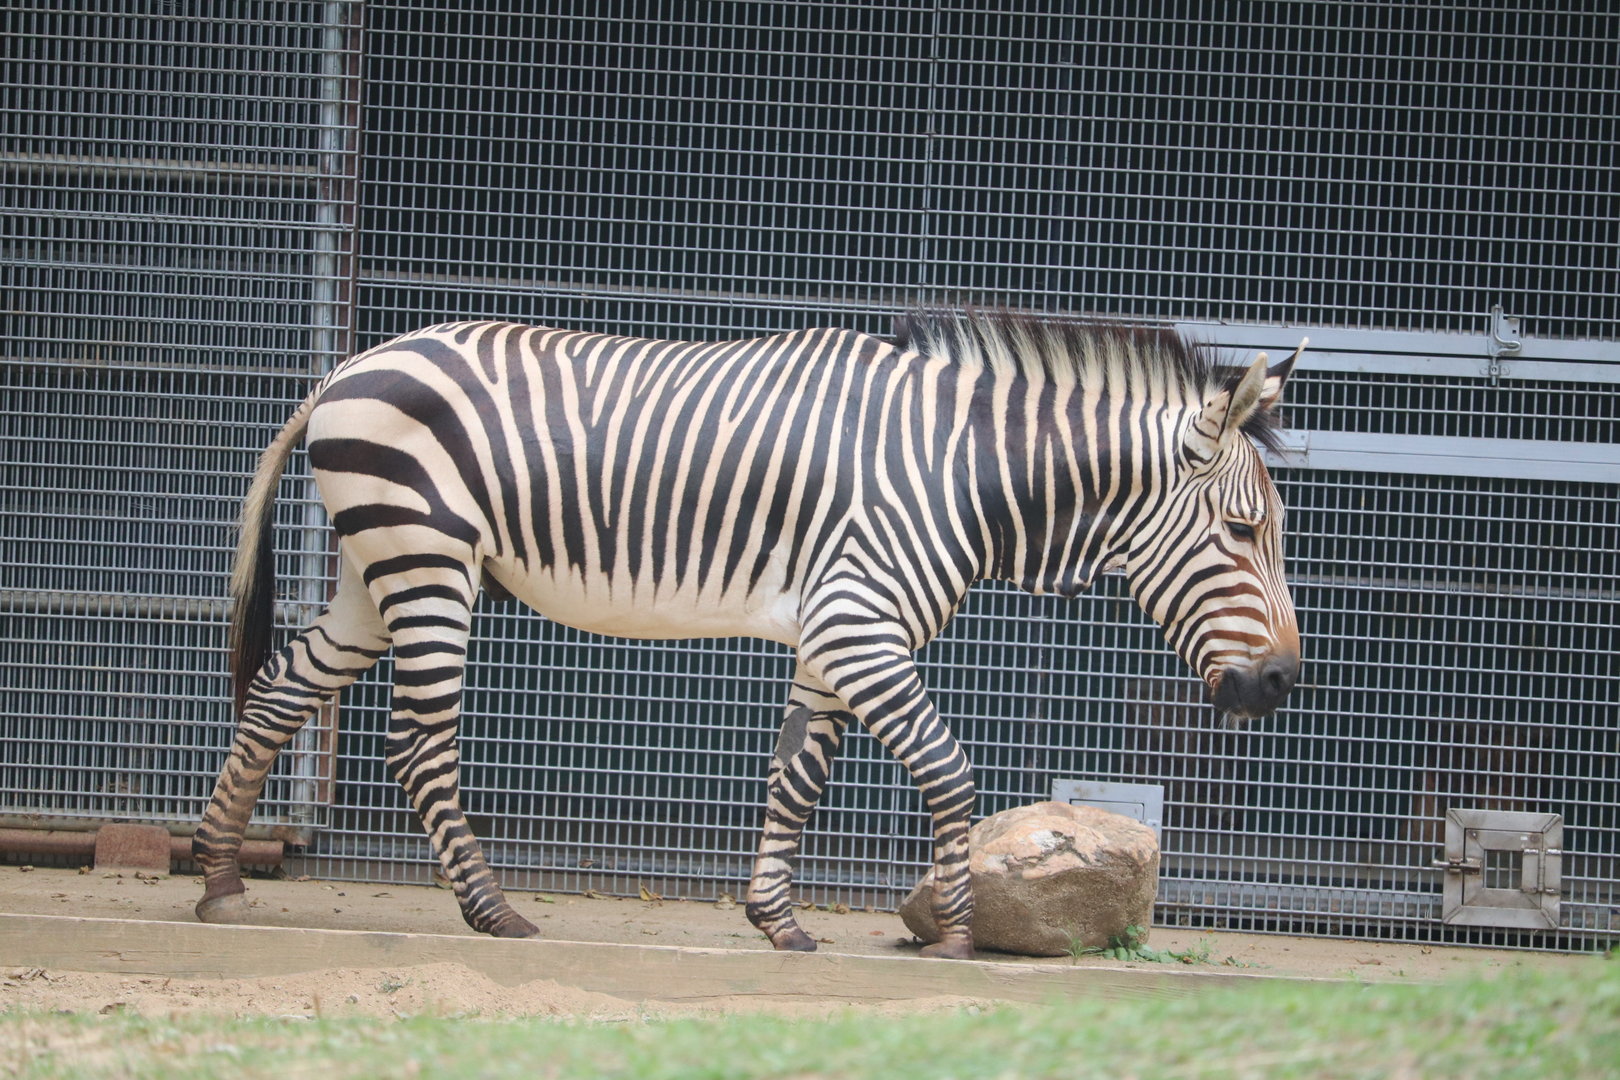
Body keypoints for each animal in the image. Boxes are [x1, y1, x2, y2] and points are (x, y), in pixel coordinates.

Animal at [192, 311, 1302, 960]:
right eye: (1244, 532)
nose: (1284, 687)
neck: (960, 472)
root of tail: (355, 361)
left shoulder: (834, 633)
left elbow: (795, 774)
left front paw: (777, 918)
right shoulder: (860, 626)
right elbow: (948, 768)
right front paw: (954, 930)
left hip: (372, 575)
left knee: (281, 690)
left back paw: (218, 876)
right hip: (426, 562)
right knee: (419, 746)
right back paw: (492, 910)